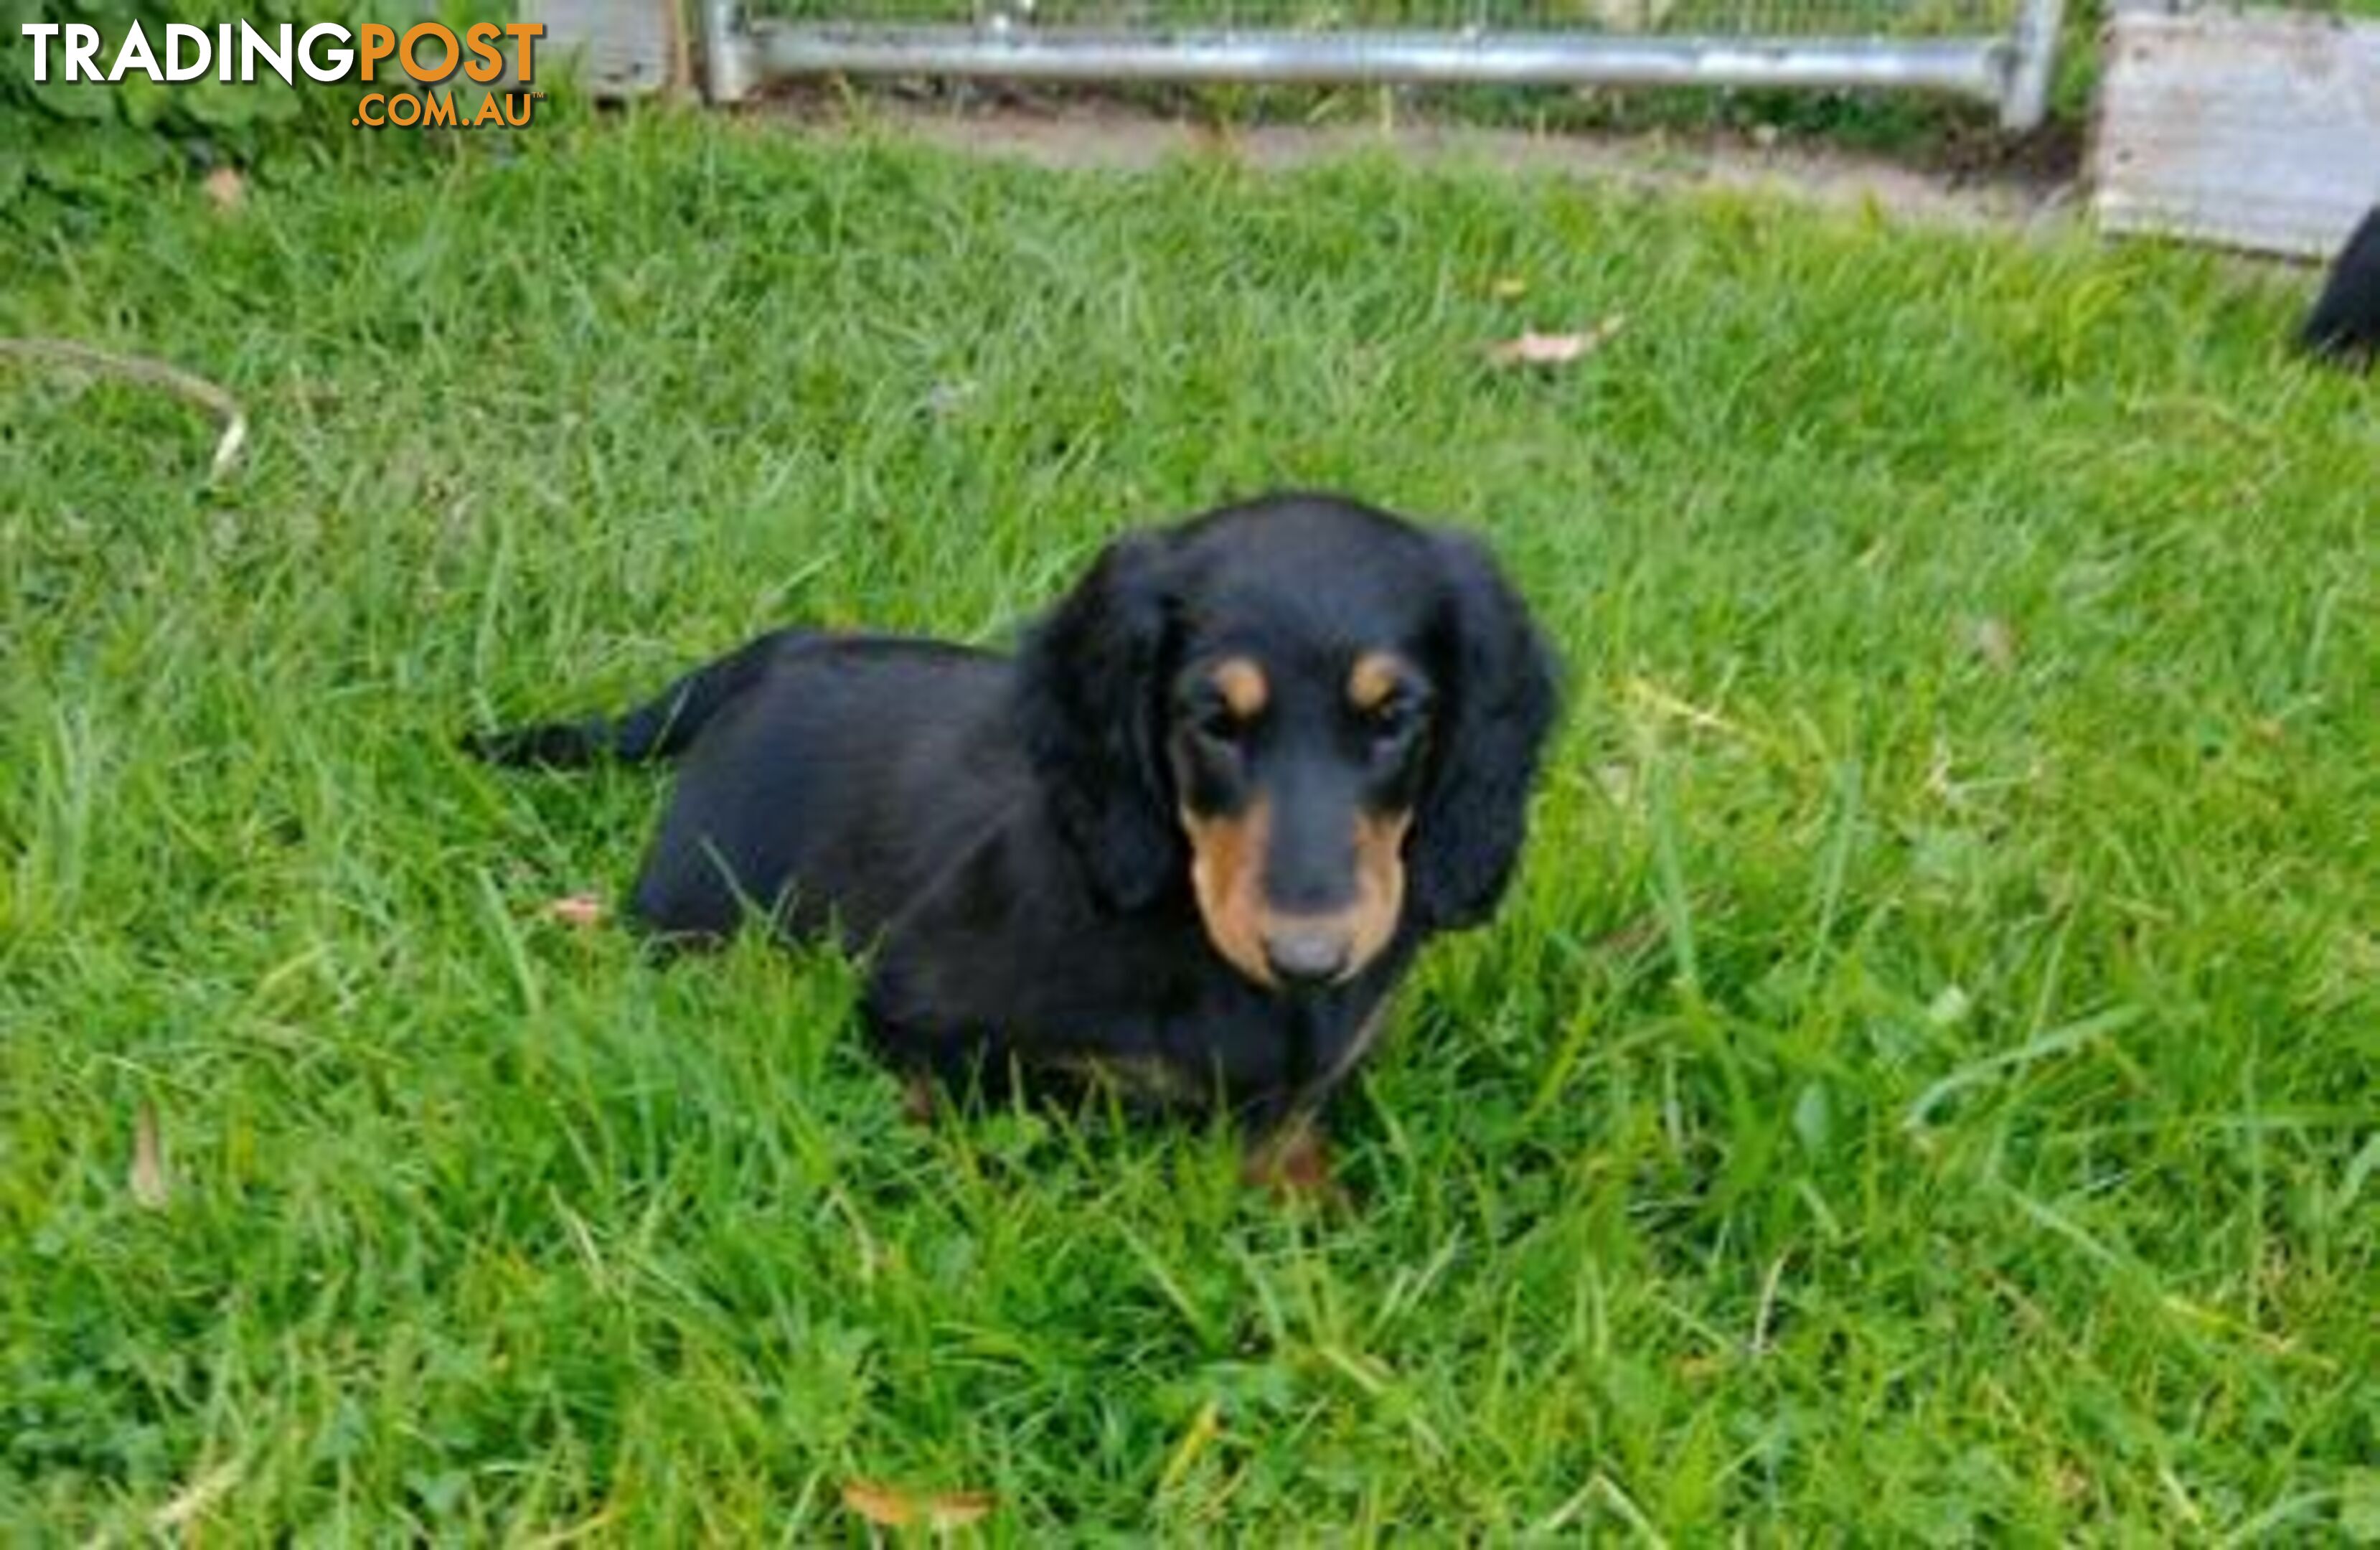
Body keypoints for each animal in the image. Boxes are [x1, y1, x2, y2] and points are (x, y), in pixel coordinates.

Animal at [469, 497, 1561, 1190]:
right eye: (1213, 720)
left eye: (1394, 717)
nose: (1309, 956)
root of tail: (784, 651)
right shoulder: (907, 1011)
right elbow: (950, 1131)